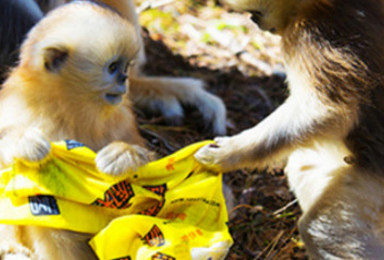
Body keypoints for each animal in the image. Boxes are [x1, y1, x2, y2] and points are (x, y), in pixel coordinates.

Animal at [0, 1, 153, 258]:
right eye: (113, 67)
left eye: (126, 66)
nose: (125, 79)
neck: (68, 107)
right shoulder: (16, 104)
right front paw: (25, 142)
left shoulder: (122, 116)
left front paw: (122, 154)